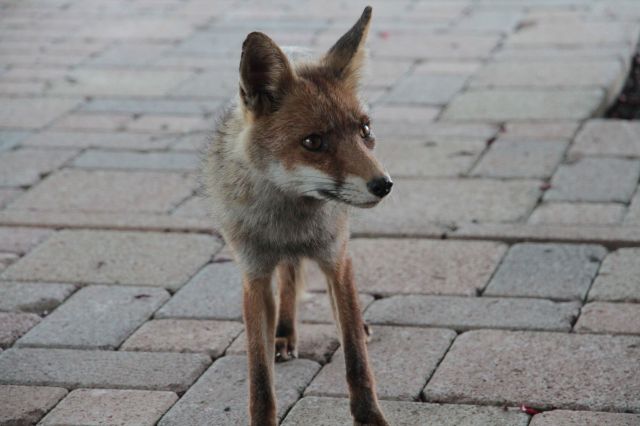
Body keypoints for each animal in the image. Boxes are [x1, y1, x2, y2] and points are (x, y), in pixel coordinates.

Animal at [202, 6, 392, 426]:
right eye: (313, 142)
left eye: (365, 129)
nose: (384, 185)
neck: (288, 224)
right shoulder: (254, 275)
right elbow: (259, 378)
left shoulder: (336, 259)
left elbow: (356, 359)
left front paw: (370, 417)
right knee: (288, 279)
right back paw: (285, 331)